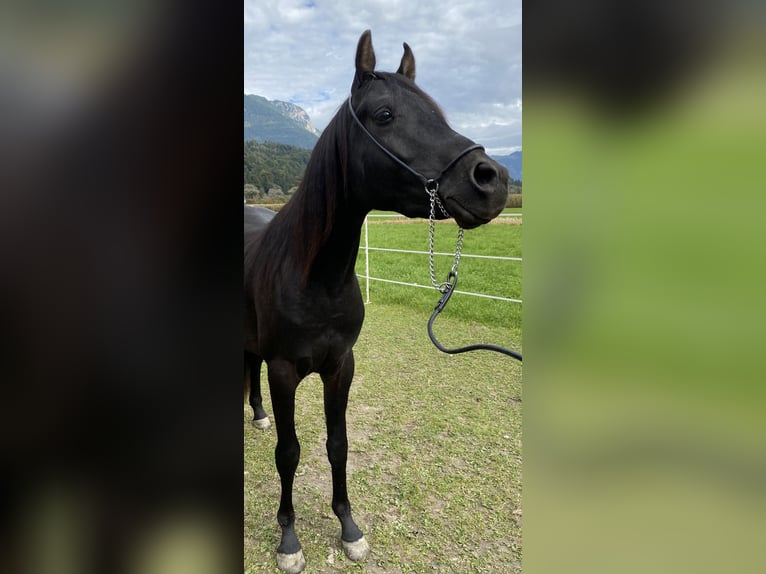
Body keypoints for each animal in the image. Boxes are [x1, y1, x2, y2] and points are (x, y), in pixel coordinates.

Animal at [244, 30, 509, 573]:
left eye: (437, 112)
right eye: (385, 114)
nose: (492, 180)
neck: (316, 278)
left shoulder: (341, 365)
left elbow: (337, 445)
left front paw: (349, 528)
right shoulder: (284, 370)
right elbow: (289, 452)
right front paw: (289, 539)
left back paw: (257, 415)